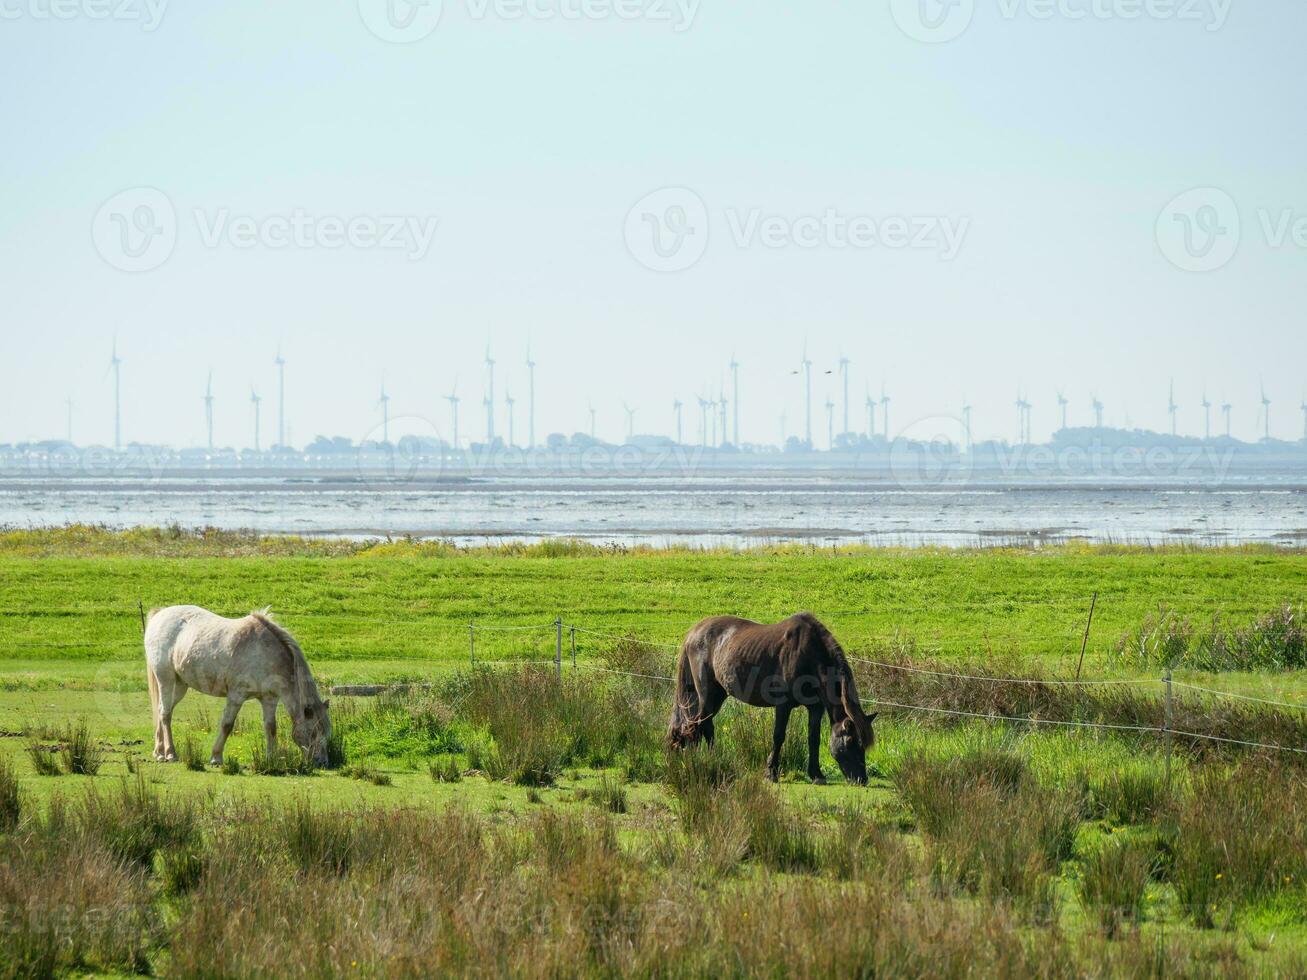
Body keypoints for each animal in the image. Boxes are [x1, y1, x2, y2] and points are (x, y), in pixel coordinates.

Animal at [144, 606, 331, 768]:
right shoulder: (236, 696)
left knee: (162, 711)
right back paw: (170, 754)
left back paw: (159, 752)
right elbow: (227, 725)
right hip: (166, 680)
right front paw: (216, 757)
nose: (323, 763)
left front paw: (271, 759)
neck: (265, 654)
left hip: (180, 686)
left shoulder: (269, 699)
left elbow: (271, 728)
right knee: (165, 714)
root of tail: (159, 614)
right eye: (313, 732)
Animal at [669, 614, 873, 783]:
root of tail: (695, 631)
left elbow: (813, 738)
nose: (862, 779)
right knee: (700, 724)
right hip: (708, 695)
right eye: (850, 742)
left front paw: (816, 774)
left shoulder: (815, 708)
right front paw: (771, 773)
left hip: (719, 694)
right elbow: (778, 736)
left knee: (704, 724)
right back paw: (701, 760)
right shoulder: (783, 705)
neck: (808, 654)